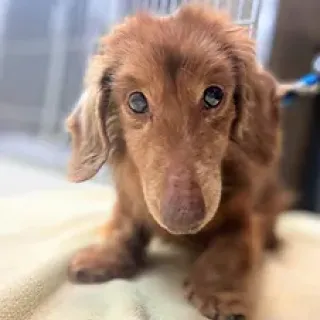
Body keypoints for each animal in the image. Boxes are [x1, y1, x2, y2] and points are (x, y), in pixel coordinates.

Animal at [66, 5, 292, 320]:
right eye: (136, 102)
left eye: (214, 95)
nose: (183, 217)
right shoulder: (130, 199)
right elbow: (124, 225)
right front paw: (106, 256)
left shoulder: (246, 212)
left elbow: (232, 248)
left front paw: (220, 293)